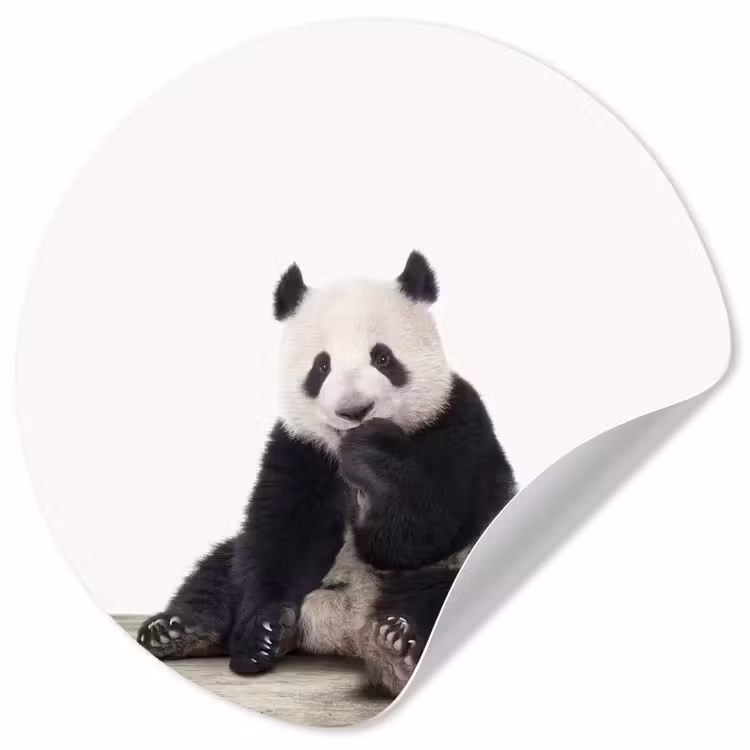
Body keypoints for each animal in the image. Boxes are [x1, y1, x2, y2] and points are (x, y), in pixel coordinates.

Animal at [138, 251, 516, 697]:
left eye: (383, 358)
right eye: (321, 366)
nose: (355, 410)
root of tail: (345, 630)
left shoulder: (457, 421)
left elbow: (427, 528)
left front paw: (373, 455)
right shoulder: (300, 448)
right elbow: (282, 532)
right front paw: (262, 635)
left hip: (465, 558)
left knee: (444, 589)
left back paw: (396, 643)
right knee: (220, 567)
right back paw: (179, 631)